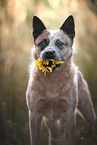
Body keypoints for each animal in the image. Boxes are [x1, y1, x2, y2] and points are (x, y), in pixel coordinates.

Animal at [26, 15, 96, 145]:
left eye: (60, 43)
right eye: (42, 43)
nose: (49, 53)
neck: (52, 81)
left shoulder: (69, 114)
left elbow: (71, 139)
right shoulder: (35, 114)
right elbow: (34, 139)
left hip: (86, 108)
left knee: (91, 123)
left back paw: (92, 139)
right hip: (51, 121)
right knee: (54, 136)